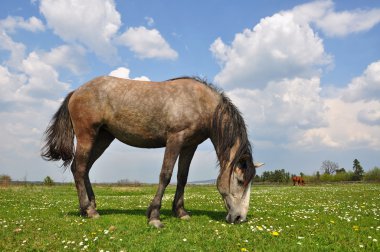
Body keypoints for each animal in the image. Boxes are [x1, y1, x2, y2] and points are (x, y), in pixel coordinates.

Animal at [40, 76, 262, 227]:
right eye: (240, 181)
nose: (240, 217)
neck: (199, 102)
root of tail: (76, 91)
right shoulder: (175, 139)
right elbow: (166, 175)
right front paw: (154, 216)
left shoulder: (189, 146)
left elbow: (182, 177)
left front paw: (180, 212)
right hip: (87, 135)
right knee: (78, 168)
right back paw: (88, 209)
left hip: (103, 138)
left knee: (85, 168)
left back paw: (90, 206)